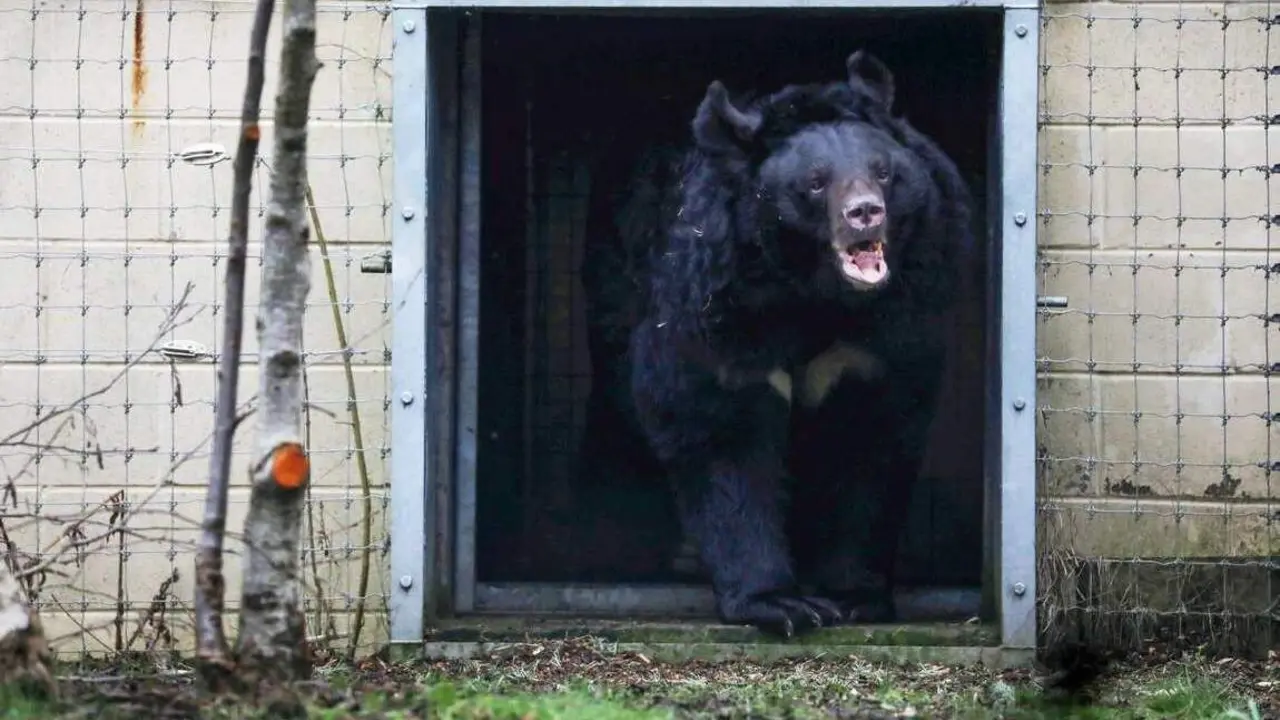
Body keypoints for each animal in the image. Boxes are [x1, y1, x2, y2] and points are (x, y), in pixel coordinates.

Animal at [575, 50, 975, 637]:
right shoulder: (718, 305)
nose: (865, 212)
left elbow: (871, 438)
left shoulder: (891, 327)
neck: (814, 293)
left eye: (883, 171)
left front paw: (853, 595)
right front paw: (779, 603)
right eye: (815, 182)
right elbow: (721, 432)